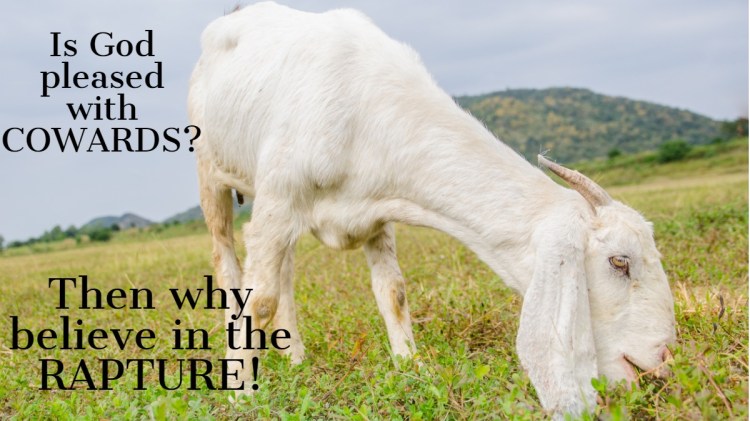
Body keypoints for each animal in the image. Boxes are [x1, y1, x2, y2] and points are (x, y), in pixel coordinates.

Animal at [188, 2, 677, 417]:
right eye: (619, 262)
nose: (661, 361)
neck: (363, 106)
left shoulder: (373, 211)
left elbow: (393, 292)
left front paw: (410, 368)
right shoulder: (279, 198)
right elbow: (259, 301)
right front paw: (242, 396)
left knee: (285, 270)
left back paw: (296, 358)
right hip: (212, 173)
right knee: (228, 260)